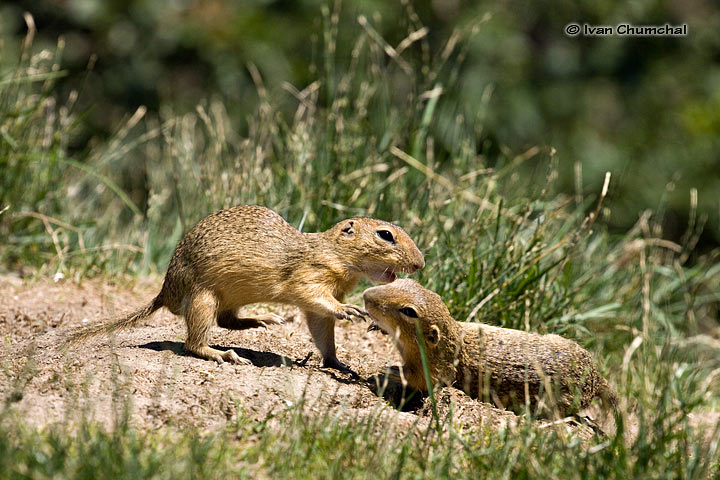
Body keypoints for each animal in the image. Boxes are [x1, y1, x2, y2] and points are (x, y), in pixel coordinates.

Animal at [366, 280, 620, 414]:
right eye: (399, 282)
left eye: (409, 311)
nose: (366, 295)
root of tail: (597, 378)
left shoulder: (437, 370)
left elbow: (419, 380)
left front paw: (391, 371)